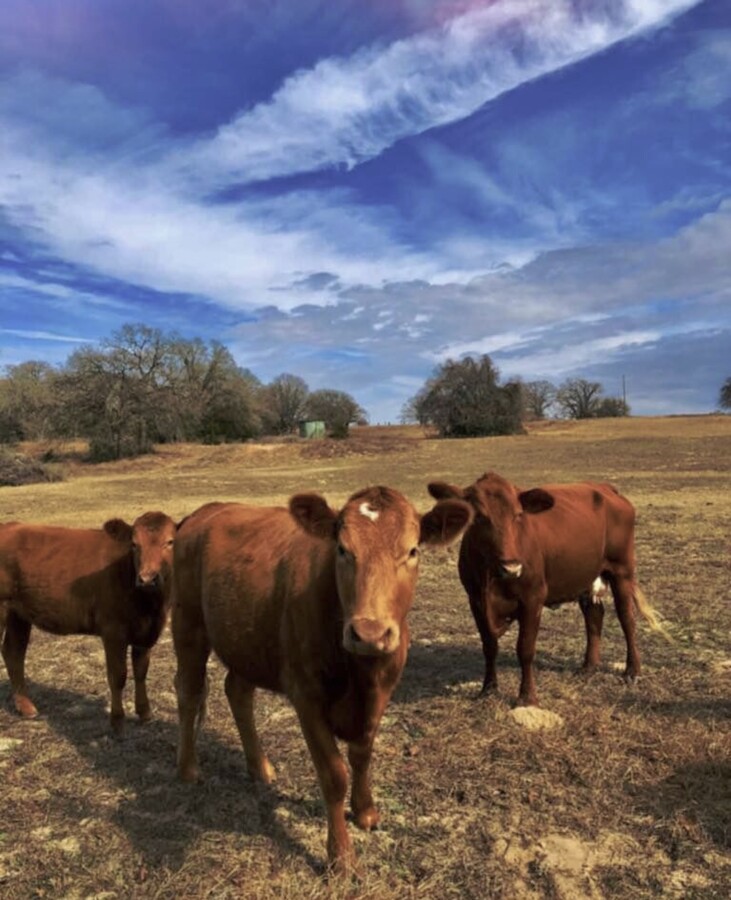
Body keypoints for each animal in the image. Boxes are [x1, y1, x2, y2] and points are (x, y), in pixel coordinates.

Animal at [0, 512, 177, 732]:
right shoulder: (113, 631)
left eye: (170, 542)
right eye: (134, 544)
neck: (151, 606)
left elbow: (141, 671)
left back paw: (27, 707)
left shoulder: (146, 632)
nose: (146, 579)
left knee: (13, 652)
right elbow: (118, 676)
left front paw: (145, 713)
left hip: (19, 614)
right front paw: (117, 722)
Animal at [426, 474, 668, 708]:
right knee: (594, 616)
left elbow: (525, 648)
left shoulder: (532, 598)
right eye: (478, 517)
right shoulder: (476, 601)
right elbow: (489, 646)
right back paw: (589, 666)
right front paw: (488, 689)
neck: (492, 579)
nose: (511, 567)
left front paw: (527, 697)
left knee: (627, 619)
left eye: (518, 515)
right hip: (587, 575)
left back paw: (632, 671)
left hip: (622, 571)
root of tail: (605, 488)